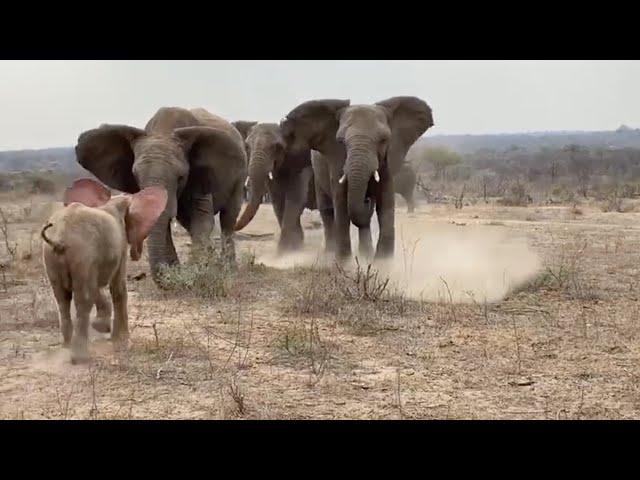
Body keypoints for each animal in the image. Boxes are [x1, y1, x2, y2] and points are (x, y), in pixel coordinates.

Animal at [42, 178, 168, 362]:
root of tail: (59, 239)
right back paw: (80, 358)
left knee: (62, 299)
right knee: (83, 299)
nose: (136, 253)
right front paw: (122, 342)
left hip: (52, 258)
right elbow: (118, 287)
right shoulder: (120, 246)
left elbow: (99, 287)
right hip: (82, 253)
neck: (113, 202)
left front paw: (103, 327)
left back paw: (66, 348)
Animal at [74, 107, 246, 282]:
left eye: (181, 177)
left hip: (239, 179)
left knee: (228, 218)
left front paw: (197, 273)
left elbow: (202, 219)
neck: (163, 130)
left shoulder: (199, 176)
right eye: (135, 175)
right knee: (187, 221)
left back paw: (228, 269)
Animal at [232, 121, 318, 251]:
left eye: (277, 147)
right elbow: (278, 200)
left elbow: (295, 198)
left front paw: (283, 252)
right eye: (247, 146)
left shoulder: (304, 162)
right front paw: (294, 249)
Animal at [282, 97, 432, 260]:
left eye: (384, 140)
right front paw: (344, 263)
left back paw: (366, 255)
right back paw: (331, 255)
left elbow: (385, 204)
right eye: (341, 141)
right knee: (328, 211)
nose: (367, 200)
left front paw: (383, 263)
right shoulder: (337, 161)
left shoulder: (388, 162)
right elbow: (341, 203)